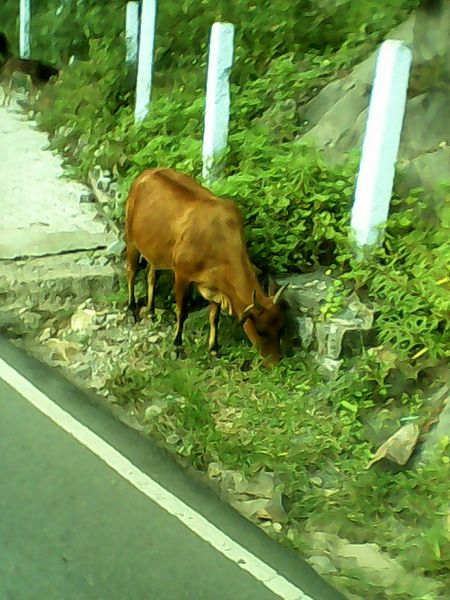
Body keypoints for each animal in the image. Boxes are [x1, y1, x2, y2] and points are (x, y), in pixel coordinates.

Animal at [125, 169, 290, 366]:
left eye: (281, 328)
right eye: (260, 331)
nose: (275, 363)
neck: (218, 239)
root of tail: (146, 174)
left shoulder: (216, 285)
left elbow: (214, 317)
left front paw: (213, 348)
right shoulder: (181, 275)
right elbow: (182, 312)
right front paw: (177, 347)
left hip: (154, 250)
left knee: (151, 275)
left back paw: (150, 311)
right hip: (131, 239)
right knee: (131, 273)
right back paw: (131, 310)